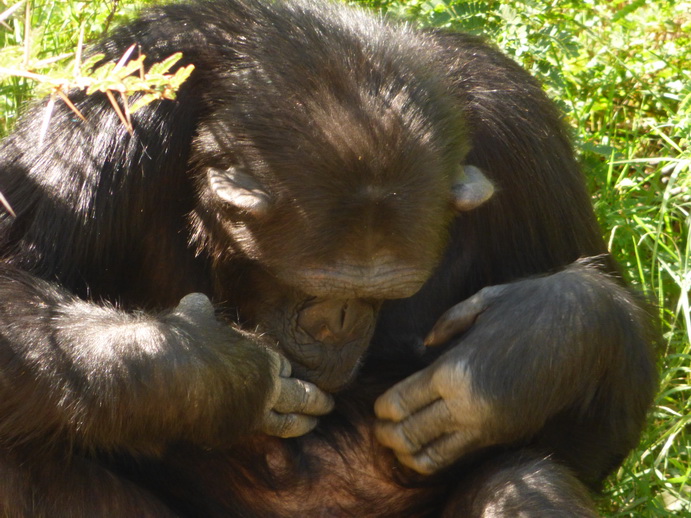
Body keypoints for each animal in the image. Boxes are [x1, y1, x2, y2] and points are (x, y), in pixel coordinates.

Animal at [0, 0, 660, 516]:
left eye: (383, 294)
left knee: (526, 475)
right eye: (311, 288)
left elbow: (601, 415)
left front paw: (520, 353)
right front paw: (221, 372)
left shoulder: (523, 129)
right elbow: (13, 281)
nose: (336, 324)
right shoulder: (108, 108)